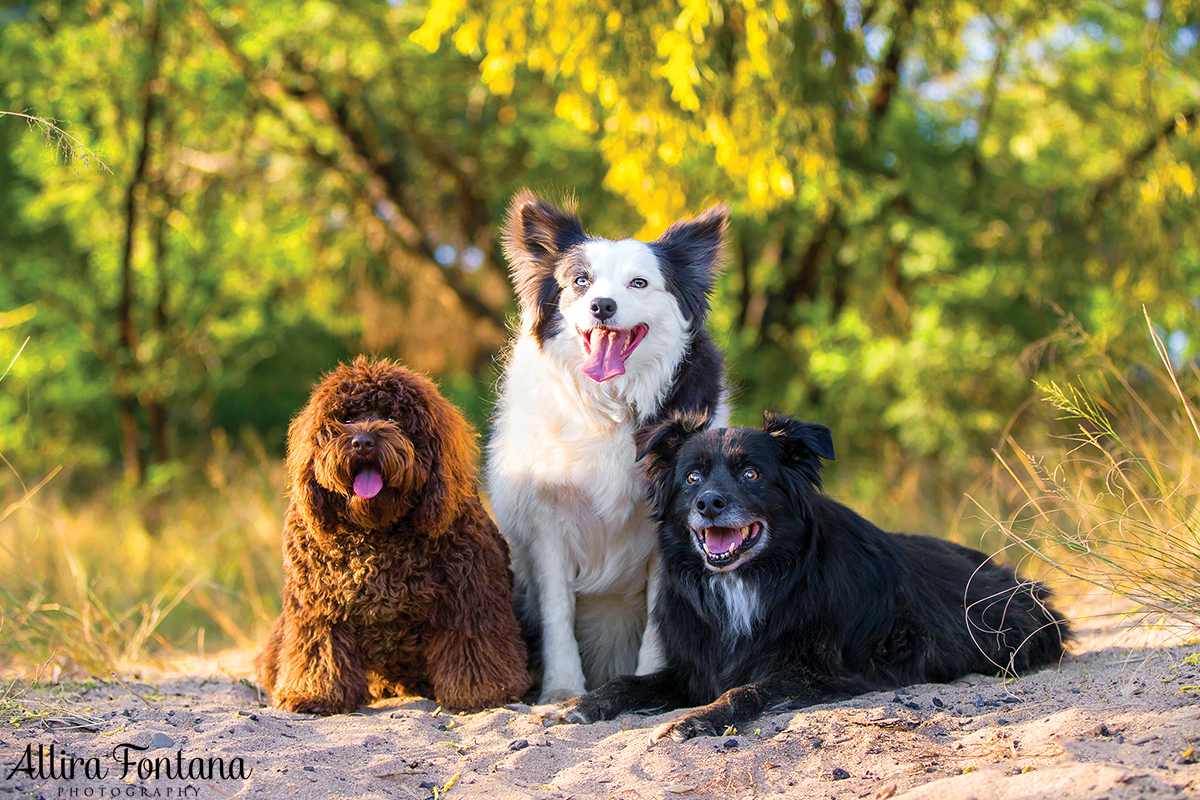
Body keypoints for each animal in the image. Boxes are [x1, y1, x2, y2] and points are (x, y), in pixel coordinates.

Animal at [255, 357, 528, 714]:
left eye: (392, 416)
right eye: (346, 418)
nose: (363, 442)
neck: (378, 531)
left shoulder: (469, 600)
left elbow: (474, 648)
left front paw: (483, 692)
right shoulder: (319, 610)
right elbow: (319, 652)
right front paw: (313, 693)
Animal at [487, 190, 729, 705]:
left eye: (639, 283)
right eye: (580, 282)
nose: (601, 305)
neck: (612, 403)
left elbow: (659, 620)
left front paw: (649, 682)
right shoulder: (548, 523)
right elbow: (558, 613)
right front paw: (561, 689)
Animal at [552, 417, 1070, 743]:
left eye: (751, 474)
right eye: (692, 478)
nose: (709, 504)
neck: (754, 580)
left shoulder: (818, 672)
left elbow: (745, 691)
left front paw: (697, 721)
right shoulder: (693, 669)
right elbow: (628, 682)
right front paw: (580, 704)